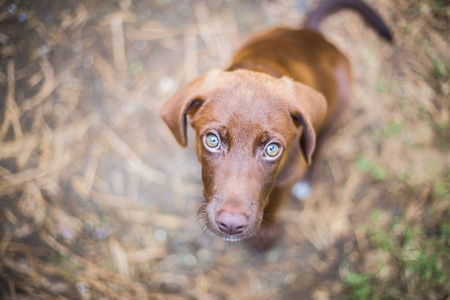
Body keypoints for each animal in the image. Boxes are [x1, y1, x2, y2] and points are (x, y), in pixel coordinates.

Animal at [160, 0, 392, 248]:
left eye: (272, 149)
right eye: (212, 140)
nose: (231, 224)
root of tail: (310, 33)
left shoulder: (288, 175)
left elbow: (277, 199)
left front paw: (266, 233)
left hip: (337, 105)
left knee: (319, 144)